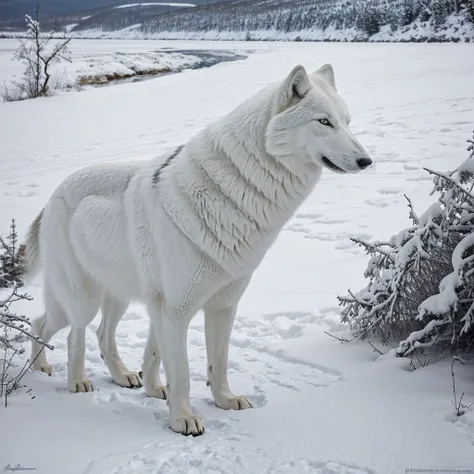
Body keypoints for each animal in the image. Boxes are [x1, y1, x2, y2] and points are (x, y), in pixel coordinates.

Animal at [23, 64, 374, 436]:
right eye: (324, 122)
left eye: (347, 121)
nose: (366, 160)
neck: (239, 193)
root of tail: (53, 194)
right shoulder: (176, 310)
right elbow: (182, 372)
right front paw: (184, 420)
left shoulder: (220, 305)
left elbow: (212, 362)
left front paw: (221, 400)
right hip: (82, 301)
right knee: (65, 332)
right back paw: (71, 380)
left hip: (119, 298)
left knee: (94, 333)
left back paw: (115, 376)